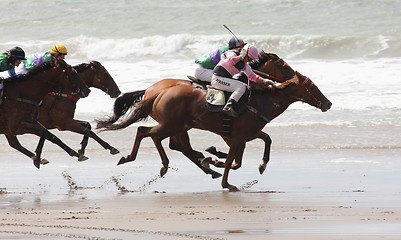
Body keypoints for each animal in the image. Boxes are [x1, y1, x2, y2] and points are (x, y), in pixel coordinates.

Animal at [97, 53, 332, 191]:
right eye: (312, 86)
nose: (328, 103)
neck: (259, 99)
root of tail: (154, 92)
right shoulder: (235, 136)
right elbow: (232, 161)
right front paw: (225, 180)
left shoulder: (246, 134)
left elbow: (264, 142)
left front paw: (258, 164)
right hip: (172, 125)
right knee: (146, 133)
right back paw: (142, 160)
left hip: (179, 126)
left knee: (166, 140)